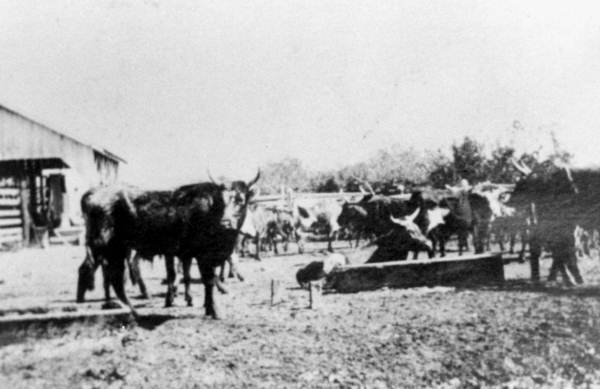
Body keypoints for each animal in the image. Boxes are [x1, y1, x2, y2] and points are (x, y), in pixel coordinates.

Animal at [78, 172, 258, 318]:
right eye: (221, 201)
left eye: (241, 200)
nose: (225, 223)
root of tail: (93, 192)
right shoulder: (202, 256)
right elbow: (208, 281)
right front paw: (214, 311)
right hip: (103, 246)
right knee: (95, 271)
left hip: (117, 250)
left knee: (114, 278)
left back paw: (131, 310)